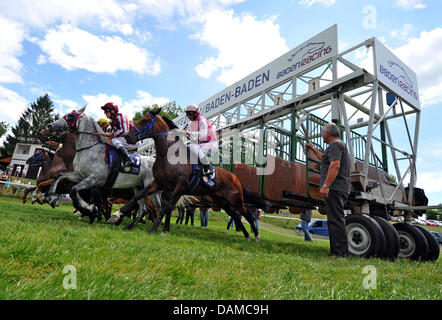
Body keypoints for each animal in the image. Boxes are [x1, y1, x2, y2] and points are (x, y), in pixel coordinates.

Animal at [109, 107, 270, 240]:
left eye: (145, 120)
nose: (127, 136)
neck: (169, 155)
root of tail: (235, 178)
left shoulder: (180, 187)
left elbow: (168, 207)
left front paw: (158, 229)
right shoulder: (159, 184)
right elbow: (138, 196)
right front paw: (117, 215)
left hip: (235, 200)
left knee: (247, 214)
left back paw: (256, 237)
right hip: (222, 202)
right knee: (236, 215)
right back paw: (247, 235)